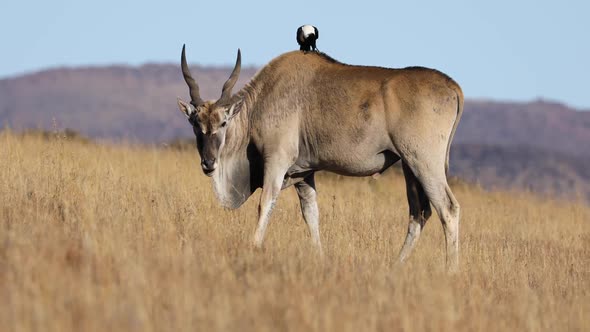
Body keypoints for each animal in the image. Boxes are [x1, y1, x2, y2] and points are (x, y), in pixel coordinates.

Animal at [178, 45, 464, 272]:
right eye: (195, 124)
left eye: (223, 123)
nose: (209, 163)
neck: (260, 102)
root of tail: (453, 87)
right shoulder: (304, 174)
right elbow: (311, 215)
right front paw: (319, 257)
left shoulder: (277, 162)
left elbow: (265, 204)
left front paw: (253, 246)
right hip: (409, 167)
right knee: (419, 214)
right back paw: (395, 266)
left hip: (424, 164)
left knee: (447, 209)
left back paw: (451, 271)